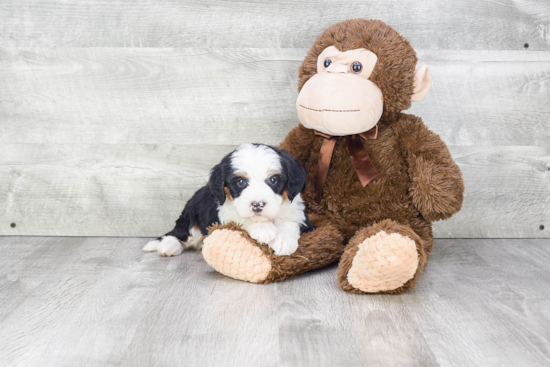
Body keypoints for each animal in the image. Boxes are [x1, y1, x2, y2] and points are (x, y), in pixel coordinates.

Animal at [142, 142, 314, 258]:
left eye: (273, 180)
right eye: (241, 182)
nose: (257, 205)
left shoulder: (300, 214)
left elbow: (291, 222)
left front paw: (283, 240)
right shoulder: (224, 213)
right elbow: (240, 218)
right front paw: (262, 229)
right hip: (191, 215)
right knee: (178, 233)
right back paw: (168, 246)